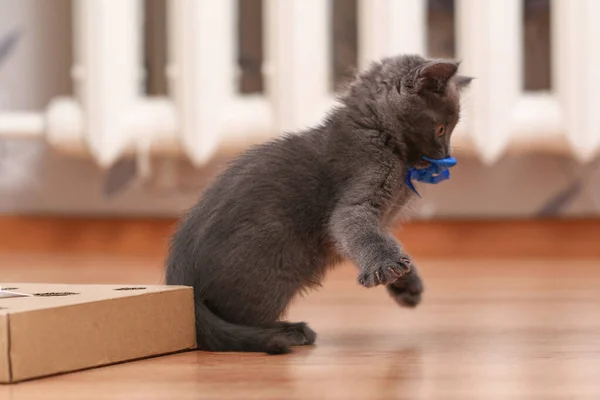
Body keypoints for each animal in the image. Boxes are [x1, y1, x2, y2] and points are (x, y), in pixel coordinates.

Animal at [165, 53, 474, 354]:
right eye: (441, 128)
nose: (446, 155)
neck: (379, 135)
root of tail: (183, 282)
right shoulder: (358, 193)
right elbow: (357, 229)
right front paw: (385, 266)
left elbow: (381, 239)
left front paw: (408, 284)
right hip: (273, 261)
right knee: (239, 320)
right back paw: (289, 332)